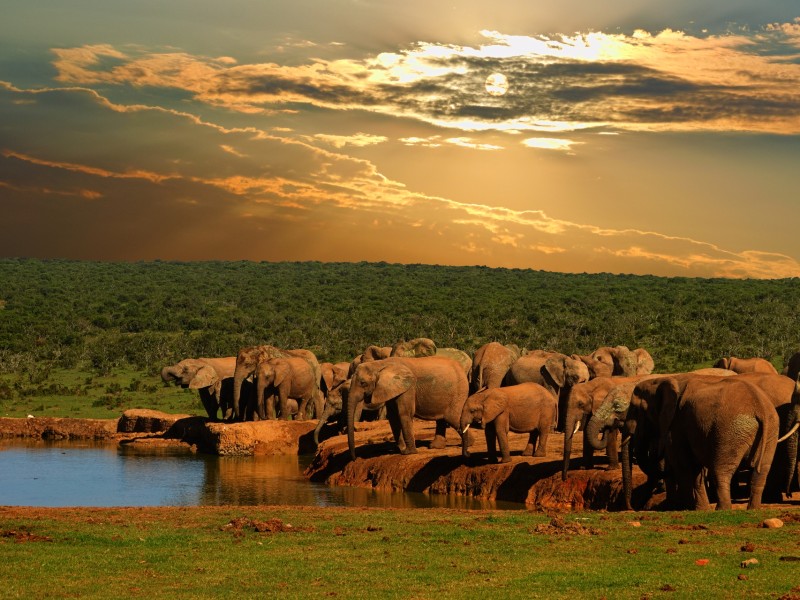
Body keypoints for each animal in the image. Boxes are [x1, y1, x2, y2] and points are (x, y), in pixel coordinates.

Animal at [588, 373, 783, 510]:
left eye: (635, 410)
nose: (630, 508)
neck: (664, 380)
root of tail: (760, 408)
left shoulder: (677, 424)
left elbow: (684, 464)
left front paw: (695, 509)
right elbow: (690, 466)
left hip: (730, 431)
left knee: (720, 470)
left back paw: (722, 509)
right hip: (771, 430)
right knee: (761, 471)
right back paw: (753, 509)